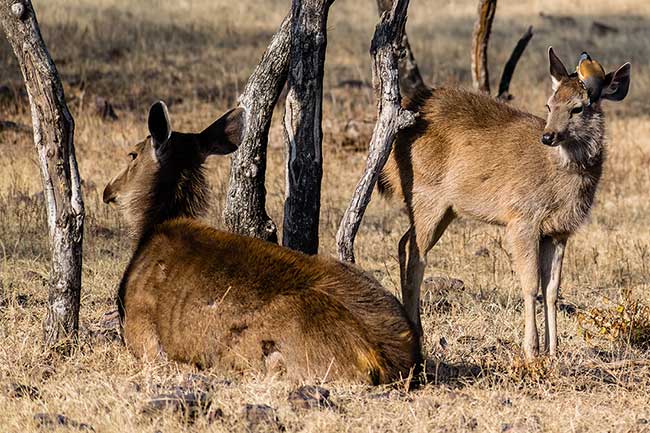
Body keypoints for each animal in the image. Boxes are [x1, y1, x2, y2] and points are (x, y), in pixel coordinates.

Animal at [380, 47, 628, 358]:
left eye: (578, 108)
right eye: (549, 105)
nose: (548, 136)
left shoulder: (559, 231)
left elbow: (552, 289)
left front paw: (553, 350)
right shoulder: (522, 218)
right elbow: (530, 283)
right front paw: (531, 350)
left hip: (445, 208)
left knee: (404, 243)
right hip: (426, 195)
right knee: (416, 255)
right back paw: (416, 334)